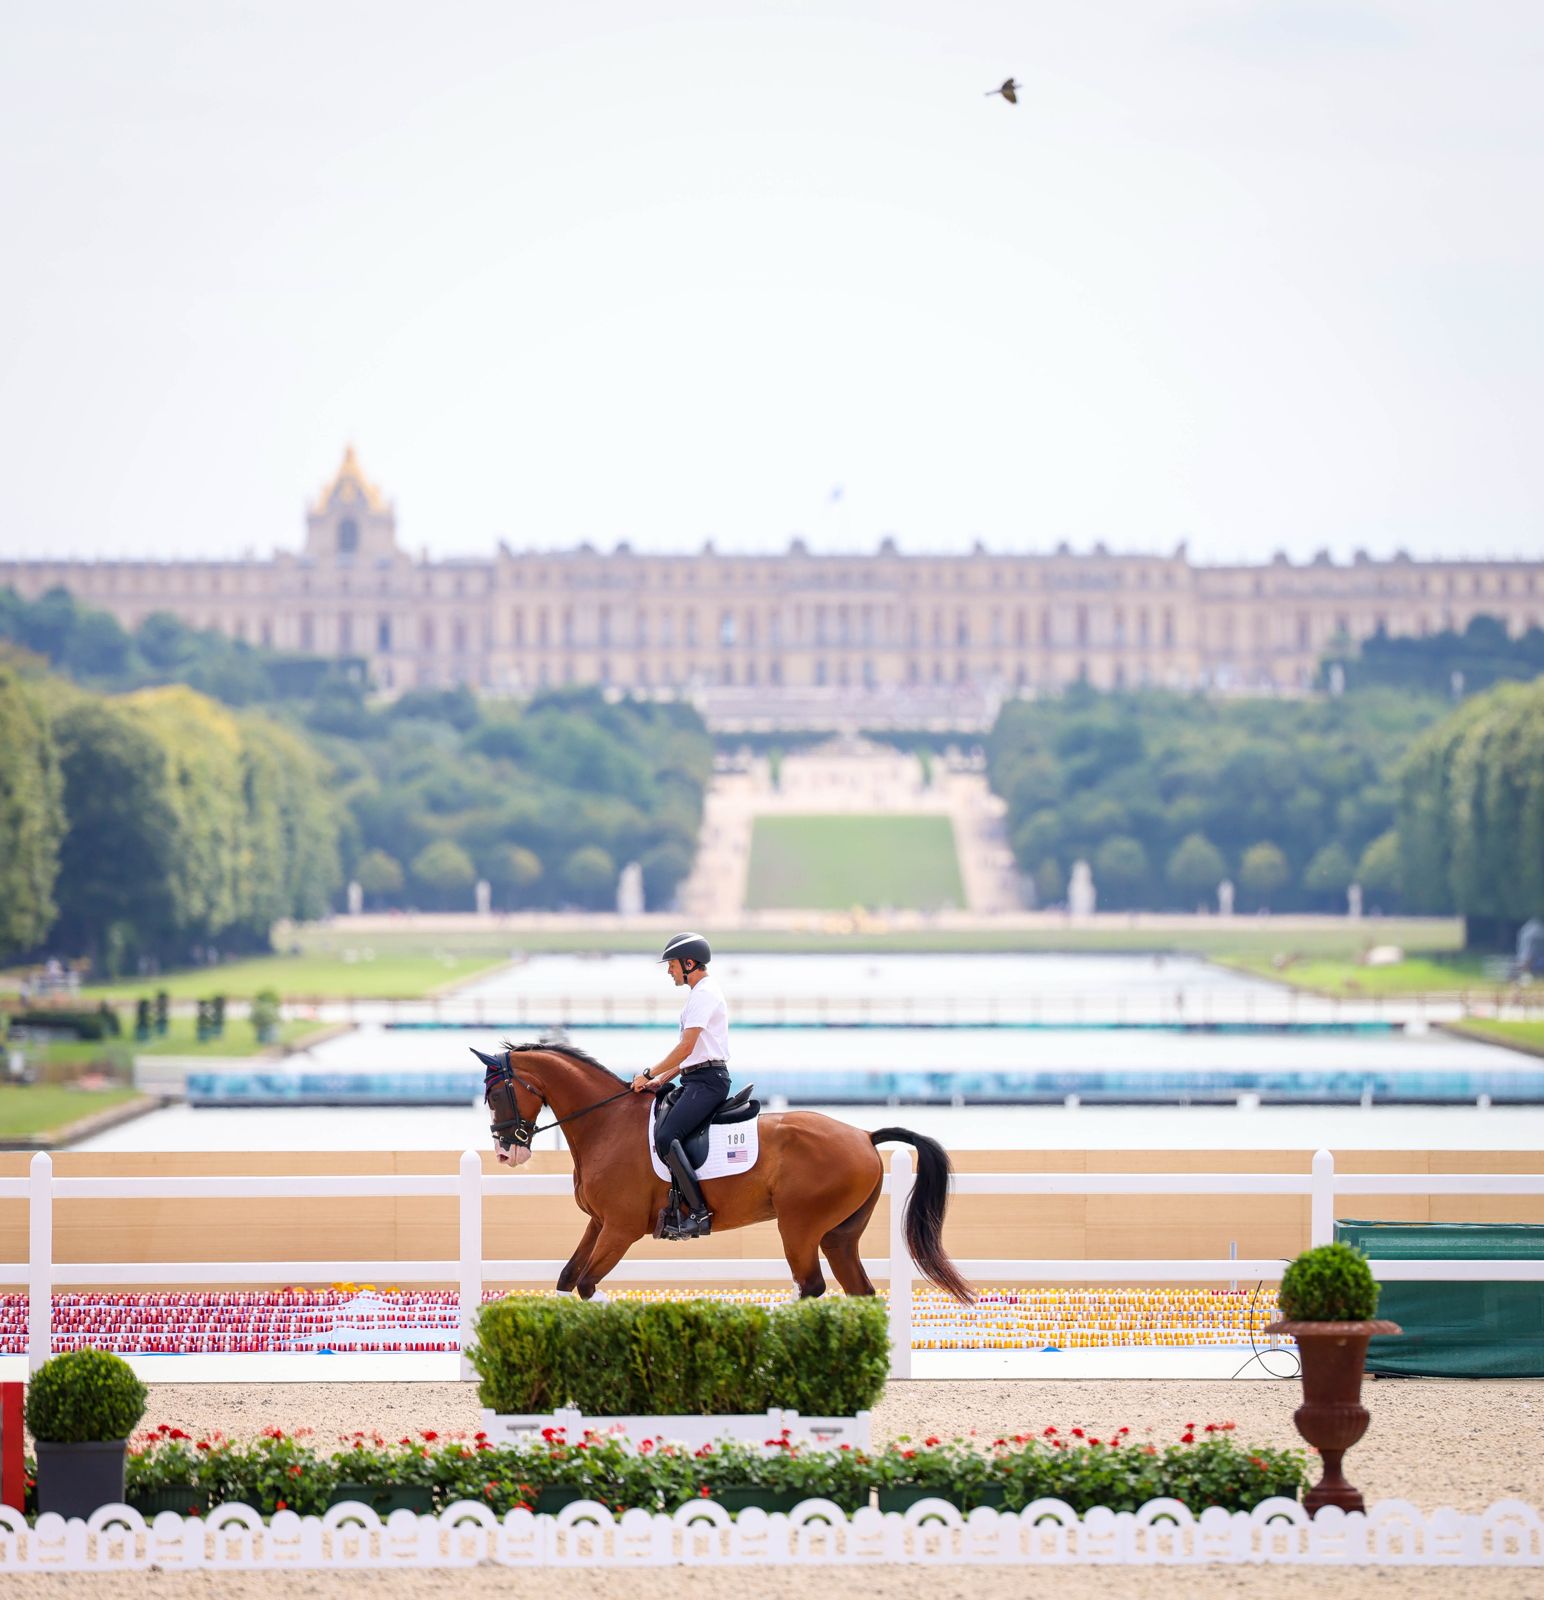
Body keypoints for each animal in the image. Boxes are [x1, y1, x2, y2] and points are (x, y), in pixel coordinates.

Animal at [476, 1043, 972, 1305]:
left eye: (498, 1095)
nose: (504, 1152)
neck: (607, 1122)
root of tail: (865, 1136)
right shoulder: (599, 1223)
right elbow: (567, 1279)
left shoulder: (620, 1228)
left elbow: (586, 1284)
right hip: (839, 1236)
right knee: (858, 1291)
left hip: (799, 1227)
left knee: (811, 1287)